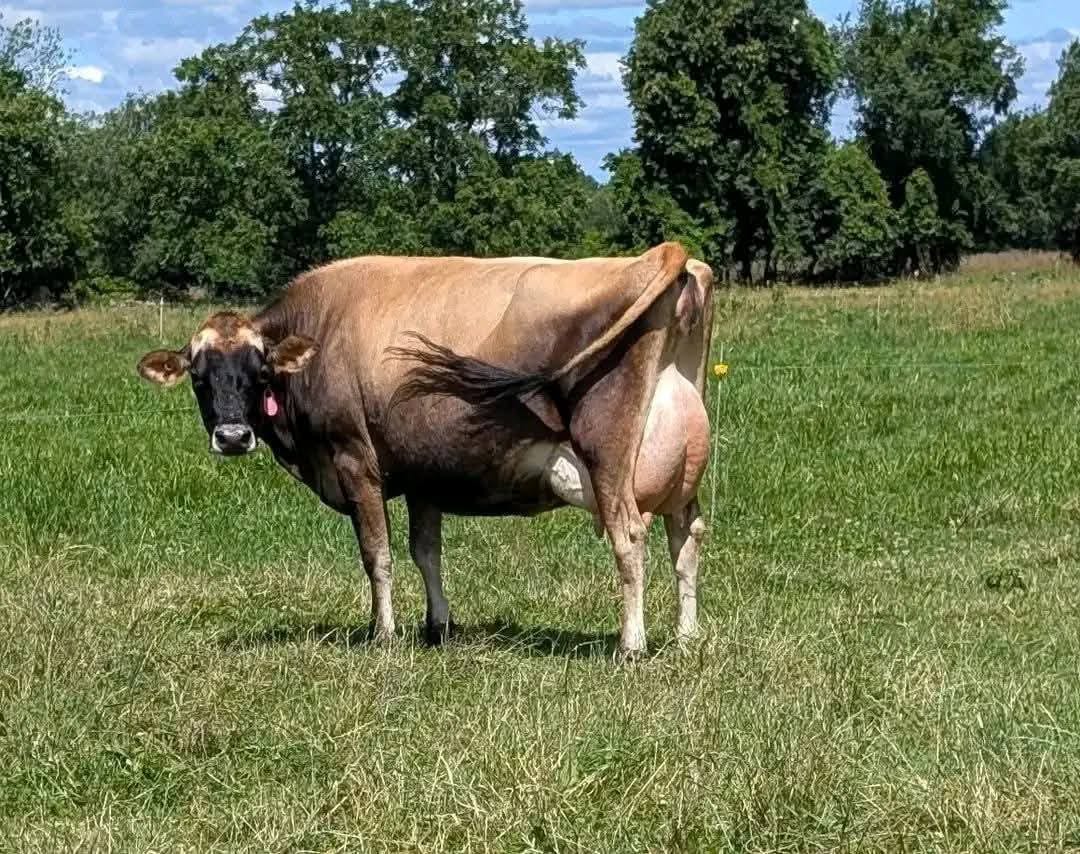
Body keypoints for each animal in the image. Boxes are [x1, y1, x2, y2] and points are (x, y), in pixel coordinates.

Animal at [137, 243, 714, 655]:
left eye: (259, 372)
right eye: (199, 377)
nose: (233, 436)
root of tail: (663, 254)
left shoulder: (354, 460)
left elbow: (378, 553)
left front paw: (384, 634)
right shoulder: (423, 474)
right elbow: (426, 551)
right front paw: (437, 627)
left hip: (607, 455)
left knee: (630, 538)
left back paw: (631, 645)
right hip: (683, 472)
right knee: (685, 539)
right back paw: (686, 637)